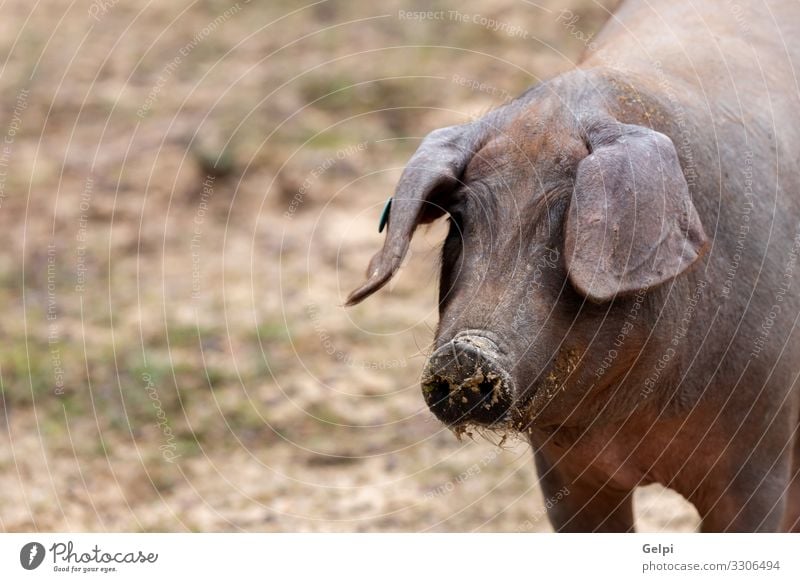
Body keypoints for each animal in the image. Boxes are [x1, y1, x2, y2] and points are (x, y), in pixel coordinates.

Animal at [346, 0, 800, 532]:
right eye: (459, 222)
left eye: (569, 224)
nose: (465, 352)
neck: (630, 416)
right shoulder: (562, 469)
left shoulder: (758, 458)